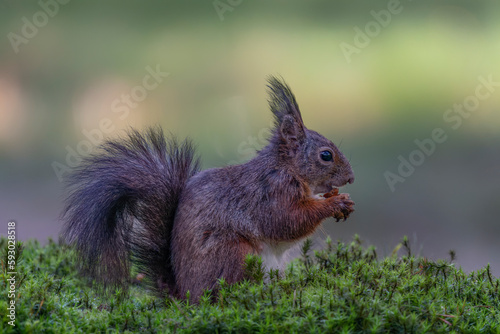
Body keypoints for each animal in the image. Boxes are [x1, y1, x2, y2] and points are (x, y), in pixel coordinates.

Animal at [62, 76, 354, 302]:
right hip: (234, 253)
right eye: (326, 156)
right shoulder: (270, 193)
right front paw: (333, 203)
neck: (286, 168)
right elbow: (286, 222)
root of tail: (185, 295)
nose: (351, 178)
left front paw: (341, 201)